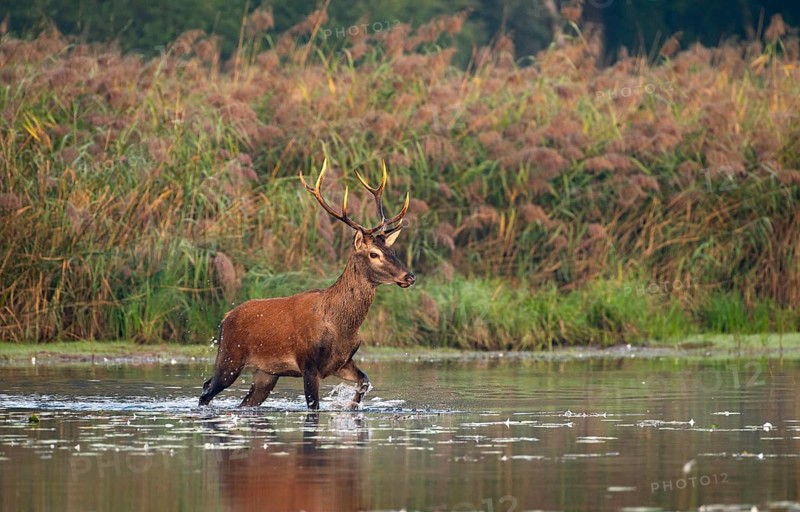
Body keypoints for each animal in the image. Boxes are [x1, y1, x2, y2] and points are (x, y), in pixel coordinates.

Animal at [198, 159, 415, 410]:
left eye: (392, 251)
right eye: (374, 254)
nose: (409, 276)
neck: (341, 326)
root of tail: (224, 319)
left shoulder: (341, 362)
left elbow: (364, 381)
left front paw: (351, 406)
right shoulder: (308, 363)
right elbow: (314, 406)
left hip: (266, 373)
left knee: (241, 401)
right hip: (229, 357)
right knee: (206, 389)